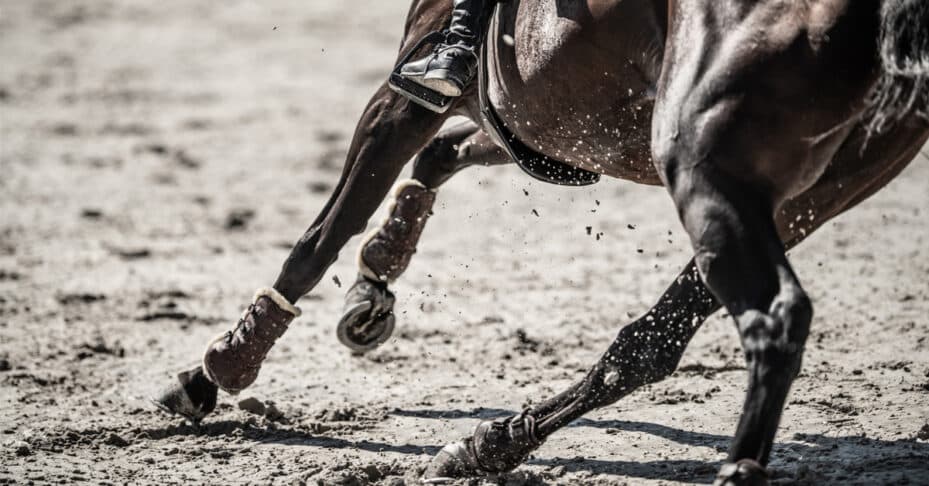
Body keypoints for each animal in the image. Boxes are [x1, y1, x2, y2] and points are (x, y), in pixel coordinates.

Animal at [155, 0, 929, 484]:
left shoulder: (412, 91)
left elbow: (321, 236)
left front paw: (220, 367)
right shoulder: (550, 125)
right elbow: (441, 157)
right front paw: (375, 280)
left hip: (702, 159)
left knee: (771, 319)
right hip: (808, 193)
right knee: (649, 344)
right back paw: (491, 444)